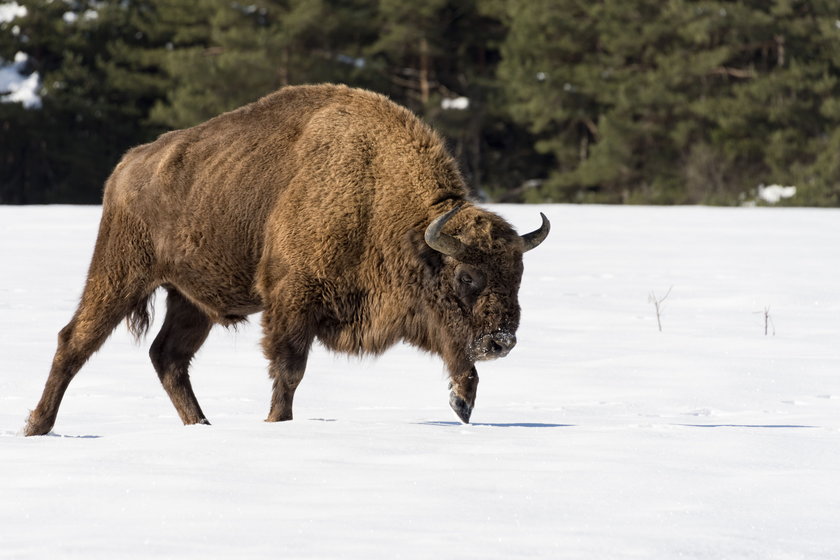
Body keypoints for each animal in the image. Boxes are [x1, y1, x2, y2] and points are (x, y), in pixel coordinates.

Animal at [23, 83, 548, 436]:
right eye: (467, 277)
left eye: (518, 275)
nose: (502, 341)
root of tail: (126, 167)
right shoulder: (292, 301)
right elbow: (289, 369)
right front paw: (278, 423)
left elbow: (462, 362)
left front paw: (462, 405)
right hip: (121, 272)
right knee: (75, 341)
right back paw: (37, 426)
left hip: (189, 301)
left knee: (167, 357)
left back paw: (202, 425)